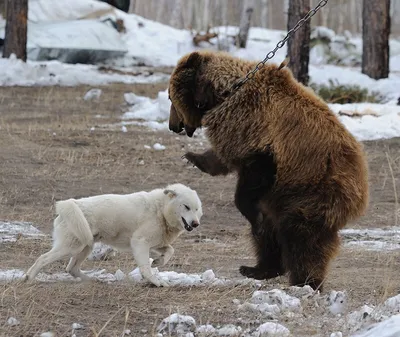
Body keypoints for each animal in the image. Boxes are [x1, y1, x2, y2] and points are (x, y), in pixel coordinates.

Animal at [23, 182, 202, 284]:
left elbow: (170, 251)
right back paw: (28, 278)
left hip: (85, 246)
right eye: (186, 207)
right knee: (43, 258)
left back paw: (93, 280)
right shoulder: (139, 242)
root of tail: (69, 204)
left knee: (71, 268)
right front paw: (155, 281)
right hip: (70, 247)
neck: (161, 209)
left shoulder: (156, 243)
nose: (195, 224)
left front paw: (158, 261)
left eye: (196, 209)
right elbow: (145, 267)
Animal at [168, 50, 368, 292]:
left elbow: (251, 182)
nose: (173, 126)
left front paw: (253, 216)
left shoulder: (260, 136)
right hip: (285, 197)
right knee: (275, 232)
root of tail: (362, 182)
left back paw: (306, 282)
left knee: (302, 238)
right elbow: (223, 157)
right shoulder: (236, 131)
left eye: (170, 98)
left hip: (312, 191)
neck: (221, 93)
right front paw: (193, 156)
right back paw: (257, 268)